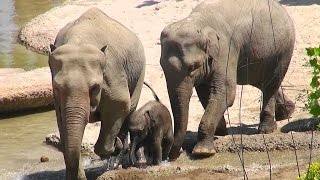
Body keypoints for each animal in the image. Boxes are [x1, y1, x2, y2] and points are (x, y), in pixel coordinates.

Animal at [48, 7, 146, 179]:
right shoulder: (57, 98)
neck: (79, 40)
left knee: (130, 110)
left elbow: (120, 104)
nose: (117, 144)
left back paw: (120, 159)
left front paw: (116, 146)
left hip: (139, 74)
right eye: (57, 87)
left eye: (94, 87)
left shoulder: (112, 74)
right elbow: (62, 121)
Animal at [160, 0, 296, 160]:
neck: (197, 21)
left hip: (283, 50)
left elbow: (225, 92)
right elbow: (206, 93)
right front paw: (220, 132)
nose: (171, 156)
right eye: (161, 66)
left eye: (192, 66)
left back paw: (266, 129)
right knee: (263, 82)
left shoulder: (225, 49)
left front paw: (203, 151)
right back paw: (286, 112)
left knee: (271, 83)